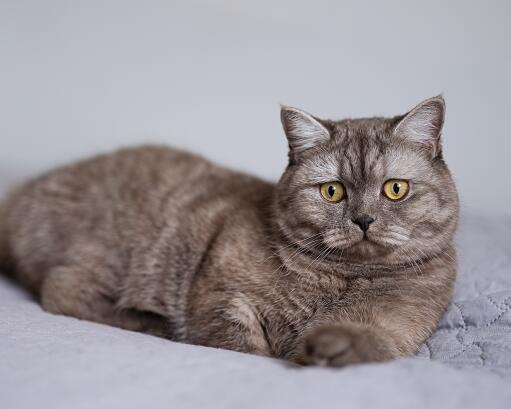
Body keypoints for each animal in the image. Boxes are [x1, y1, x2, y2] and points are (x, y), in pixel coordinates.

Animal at [0, 96, 460, 366]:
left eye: (395, 188)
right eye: (332, 191)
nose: (363, 219)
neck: (336, 279)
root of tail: (25, 194)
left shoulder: (397, 325)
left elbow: (369, 338)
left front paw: (331, 347)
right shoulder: (222, 297)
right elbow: (243, 344)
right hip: (115, 257)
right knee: (61, 290)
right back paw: (153, 323)